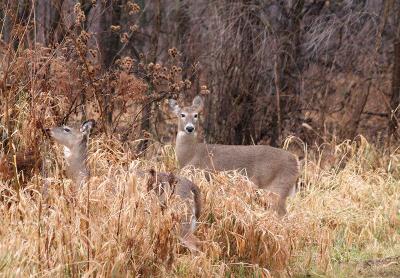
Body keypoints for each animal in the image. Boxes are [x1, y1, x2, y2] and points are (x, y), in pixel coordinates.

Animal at [170, 95, 300, 215]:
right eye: (182, 114)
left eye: (196, 115)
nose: (190, 128)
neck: (190, 154)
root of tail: (296, 162)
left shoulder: (202, 175)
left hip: (278, 187)